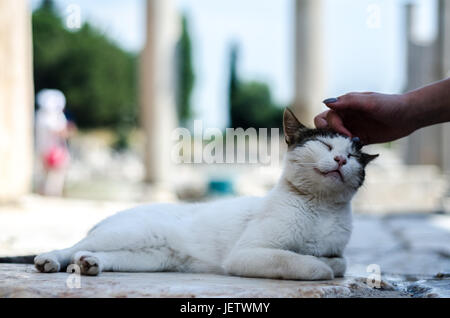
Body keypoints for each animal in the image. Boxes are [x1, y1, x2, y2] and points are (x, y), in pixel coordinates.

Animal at [30, 109, 376, 280]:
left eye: (354, 157)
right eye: (326, 146)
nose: (341, 159)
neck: (320, 208)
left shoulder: (337, 249)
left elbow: (340, 262)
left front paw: (328, 262)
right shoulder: (248, 253)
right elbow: (311, 265)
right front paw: (319, 266)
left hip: (150, 258)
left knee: (96, 254)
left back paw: (89, 264)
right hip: (122, 234)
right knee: (72, 246)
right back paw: (50, 260)